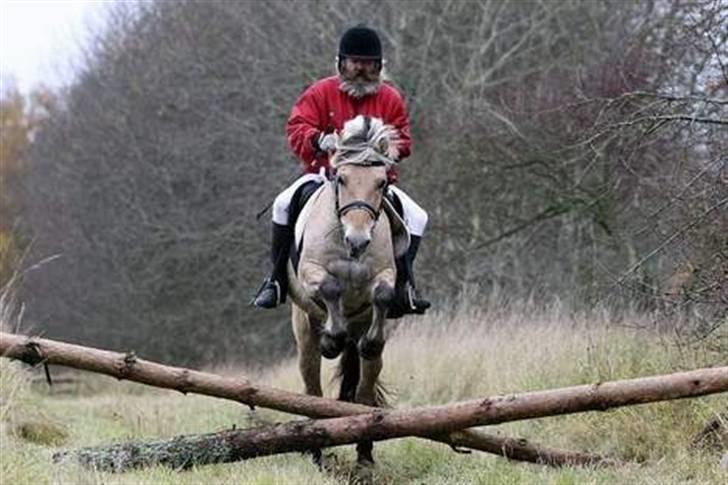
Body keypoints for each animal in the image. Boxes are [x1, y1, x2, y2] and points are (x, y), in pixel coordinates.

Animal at [284, 114, 410, 466]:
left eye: (381, 183)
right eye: (341, 178)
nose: (358, 240)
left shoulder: (385, 275)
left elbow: (382, 295)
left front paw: (367, 341)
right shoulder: (312, 272)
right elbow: (330, 287)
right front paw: (332, 340)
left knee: (365, 393)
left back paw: (365, 453)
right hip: (303, 332)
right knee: (311, 390)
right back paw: (314, 450)